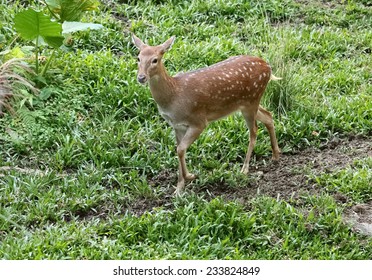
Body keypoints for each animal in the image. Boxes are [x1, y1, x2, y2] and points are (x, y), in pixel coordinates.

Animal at [132, 34, 280, 195]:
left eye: (155, 60)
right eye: (138, 57)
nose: (141, 77)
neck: (174, 96)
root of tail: (268, 67)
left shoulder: (199, 121)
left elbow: (180, 149)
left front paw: (190, 176)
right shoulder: (177, 126)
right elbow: (179, 150)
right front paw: (179, 189)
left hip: (252, 100)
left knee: (254, 131)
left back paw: (245, 168)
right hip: (247, 104)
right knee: (268, 115)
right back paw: (276, 154)